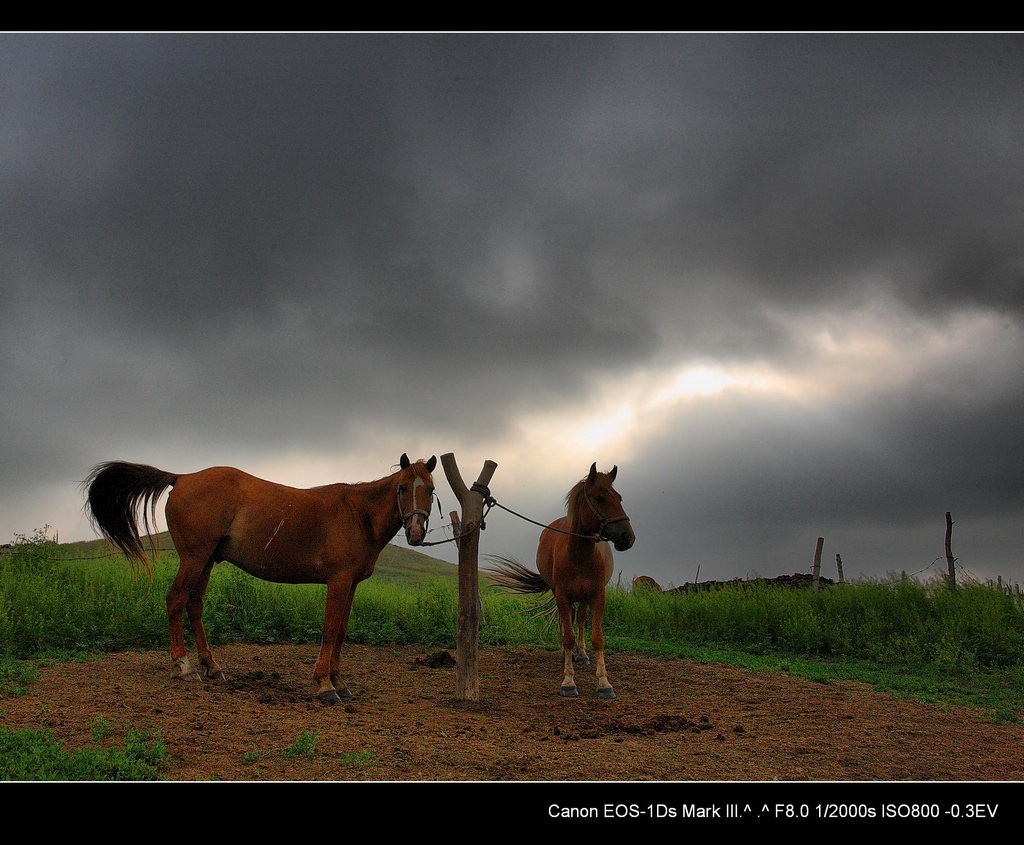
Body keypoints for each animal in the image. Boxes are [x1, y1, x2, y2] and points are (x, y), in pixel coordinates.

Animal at [87, 450, 436, 700]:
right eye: (402, 488)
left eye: (431, 490)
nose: (416, 533)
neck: (358, 514)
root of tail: (182, 477)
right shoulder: (338, 581)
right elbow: (329, 629)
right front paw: (325, 685)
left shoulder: (351, 585)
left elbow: (341, 632)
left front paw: (339, 681)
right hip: (193, 558)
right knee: (175, 600)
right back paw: (183, 667)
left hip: (205, 561)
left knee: (194, 605)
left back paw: (212, 666)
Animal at [487, 460, 630, 700]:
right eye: (599, 498)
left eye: (619, 498)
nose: (627, 537)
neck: (580, 554)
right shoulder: (562, 596)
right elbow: (567, 636)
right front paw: (568, 681)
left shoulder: (597, 596)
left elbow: (597, 638)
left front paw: (604, 683)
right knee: (570, 621)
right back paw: (568, 655)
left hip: (584, 597)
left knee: (580, 619)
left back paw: (581, 654)